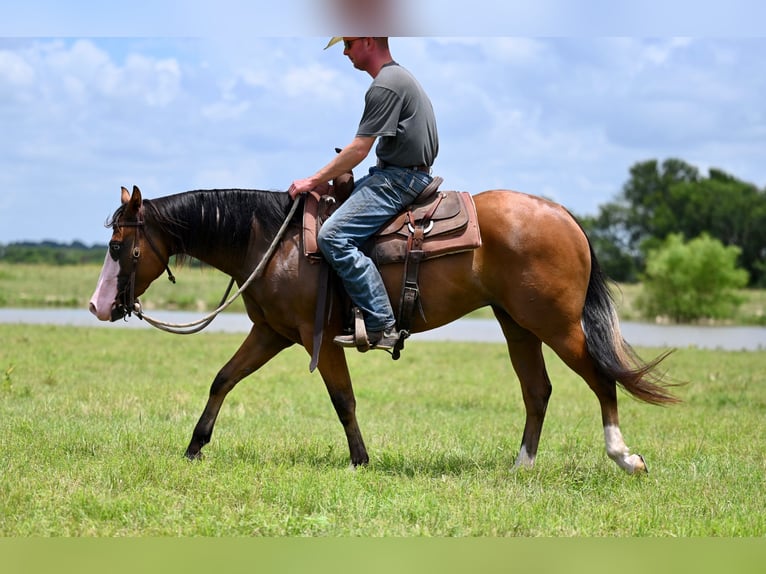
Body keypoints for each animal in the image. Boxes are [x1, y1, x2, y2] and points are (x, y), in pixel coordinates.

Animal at [88, 184, 680, 476]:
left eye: (119, 246)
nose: (97, 306)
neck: (274, 242)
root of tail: (564, 215)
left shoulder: (316, 339)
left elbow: (342, 400)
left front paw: (360, 460)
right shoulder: (270, 333)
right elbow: (222, 379)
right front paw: (194, 448)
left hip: (556, 324)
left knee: (601, 379)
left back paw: (625, 457)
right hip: (517, 324)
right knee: (537, 391)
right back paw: (521, 466)